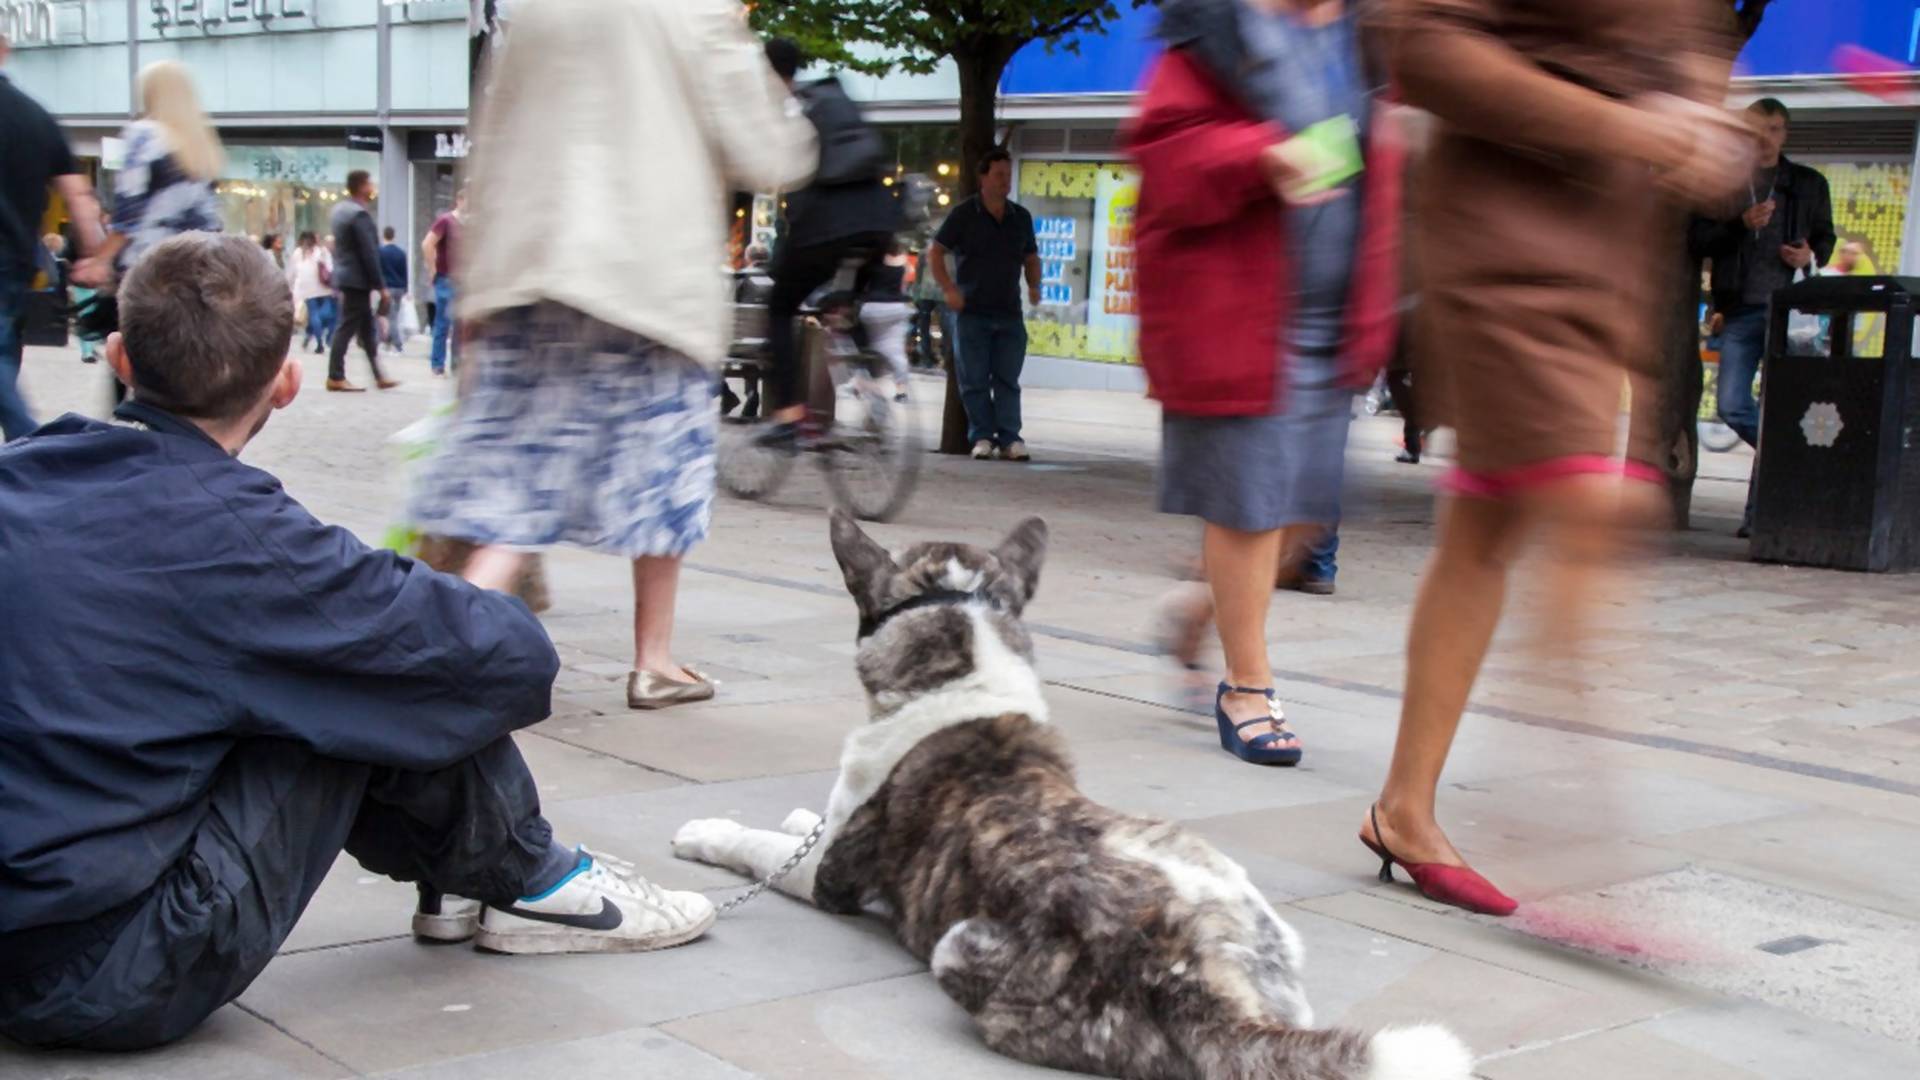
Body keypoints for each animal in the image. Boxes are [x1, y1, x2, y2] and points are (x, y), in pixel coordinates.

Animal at [675, 511, 1466, 1076]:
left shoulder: (829, 876)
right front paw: (797, 813)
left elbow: (763, 849)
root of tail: (1208, 987)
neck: (966, 677)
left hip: (960, 949)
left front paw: (709, 833)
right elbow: (806, 822)